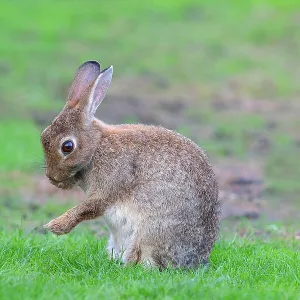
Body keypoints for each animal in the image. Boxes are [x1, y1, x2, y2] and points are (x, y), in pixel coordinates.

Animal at [41, 59, 220, 268]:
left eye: (67, 146)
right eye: (43, 136)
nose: (52, 178)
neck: (97, 146)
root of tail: (195, 260)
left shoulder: (111, 182)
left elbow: (90, 207)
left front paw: (55, 226)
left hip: (149, 233)